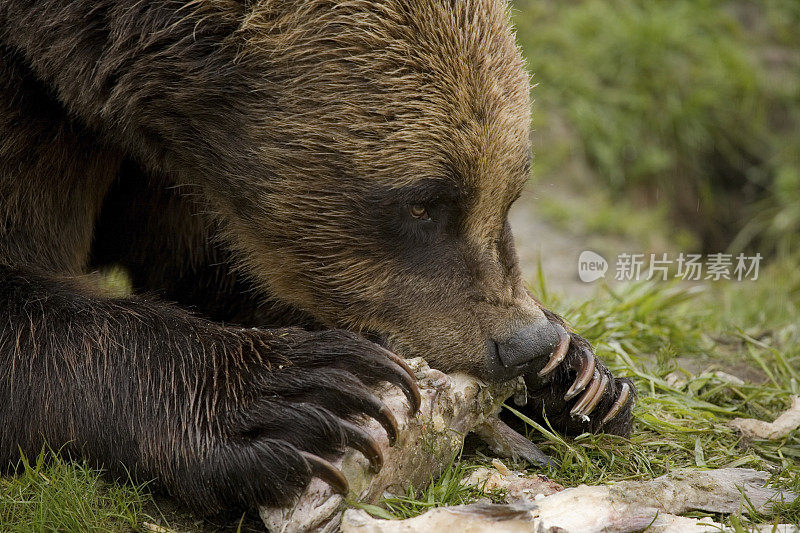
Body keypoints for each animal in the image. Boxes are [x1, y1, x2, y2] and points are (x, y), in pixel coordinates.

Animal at [3, 0, 636, 516]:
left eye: (512, 189)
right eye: (424, 204)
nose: (521, 344)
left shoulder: (174, 175)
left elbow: (218, 271)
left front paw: (577, 378)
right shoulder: (35, 108)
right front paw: (299, 396)